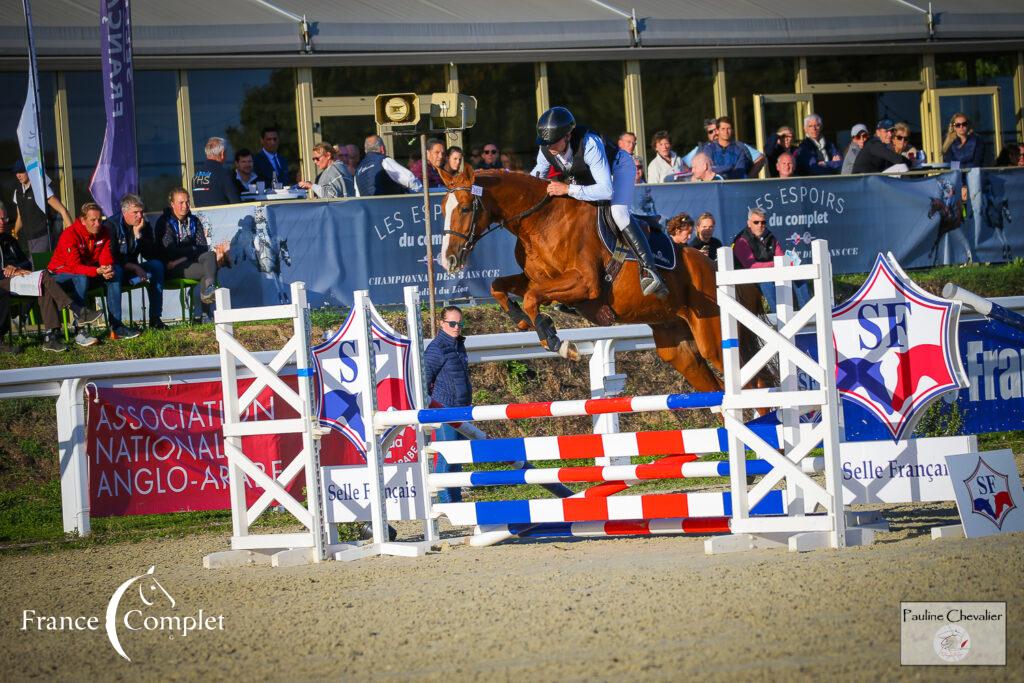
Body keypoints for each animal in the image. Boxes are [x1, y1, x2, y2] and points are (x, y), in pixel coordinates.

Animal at [432, 164, 770, 395]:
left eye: (465, 208)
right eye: (443, 209)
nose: (448, 260)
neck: (540, 221)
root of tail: (717, 268)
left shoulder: (585, 284)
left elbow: (531, 298)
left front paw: (558, 342)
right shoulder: (534, 279)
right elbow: (500, 287)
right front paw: (523, 321)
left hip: (713, 336)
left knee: (755, 382)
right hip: (677, 345)